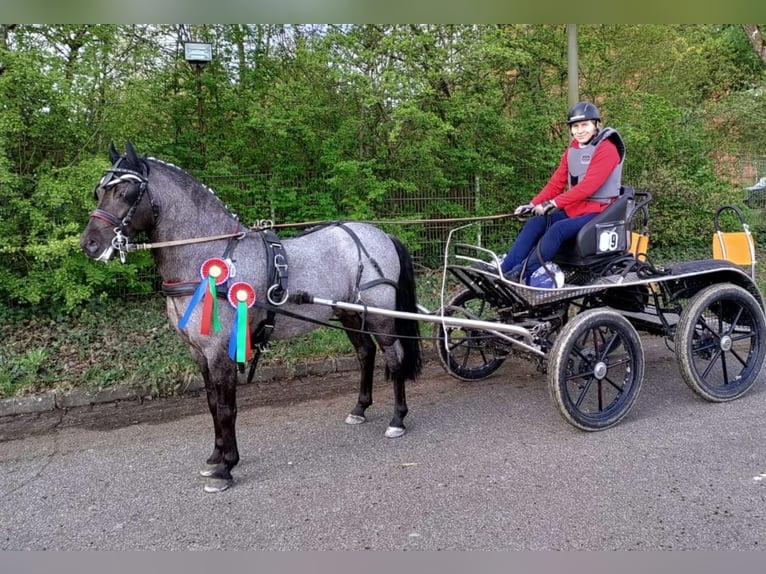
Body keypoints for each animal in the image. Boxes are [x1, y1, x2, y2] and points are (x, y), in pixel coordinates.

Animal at [81, 142, 424, 492]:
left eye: (125, 191)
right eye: (99, 190)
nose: (90, 244)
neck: (208, 255)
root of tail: (379, 235)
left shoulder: (220, 350)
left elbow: (226, 407)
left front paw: (226, 468)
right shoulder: (198, 352)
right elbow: (211, 403)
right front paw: (215, 457)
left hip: (380, 316)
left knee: (394, 357)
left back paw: (397, 419)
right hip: (349, 313)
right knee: (365, 353)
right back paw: (359, 408)